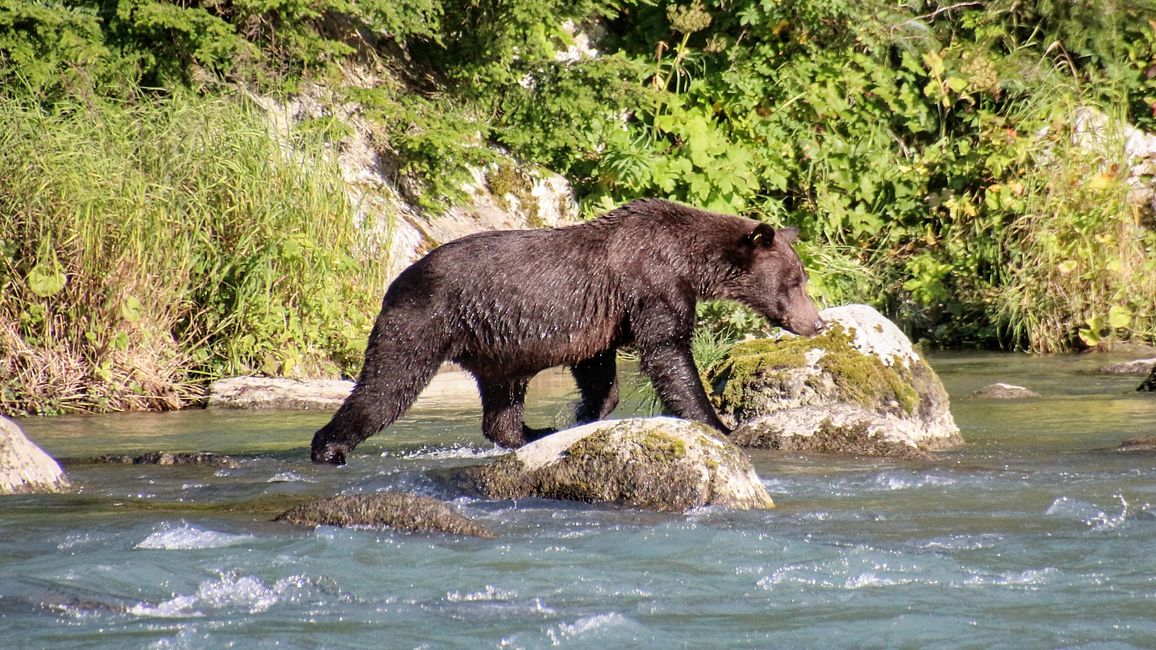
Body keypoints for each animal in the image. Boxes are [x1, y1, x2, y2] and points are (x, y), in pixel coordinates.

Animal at [312, 194, 827, 462]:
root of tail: (397, 278)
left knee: (501, 403)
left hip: (496, 351)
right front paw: (719, 422)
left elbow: (599, 373)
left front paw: (582, 417)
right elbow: (669, 351)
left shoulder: (602, 320)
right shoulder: (652, 285)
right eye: (796, 280)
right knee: (387, 383)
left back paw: (530, 432)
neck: (691, 261)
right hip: (424, 320)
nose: (817, 321)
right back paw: (329, 446)